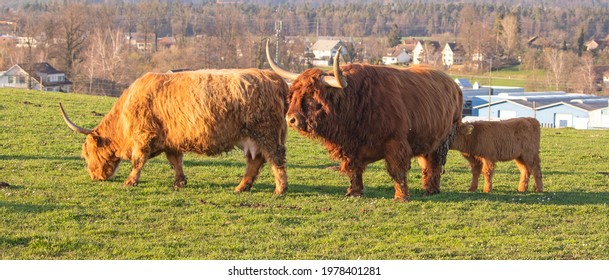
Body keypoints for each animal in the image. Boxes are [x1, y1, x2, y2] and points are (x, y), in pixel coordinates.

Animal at [60, 69, 290, 194]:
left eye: (86, 154)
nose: (94, 176)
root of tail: (274, 78)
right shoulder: (171, 140)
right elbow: (175, 161)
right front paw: (180, 182)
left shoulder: (144, 136)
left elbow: (138, 160)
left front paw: (130, 181)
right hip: (252, 138)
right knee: (256, 160)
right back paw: (241, 186)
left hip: (266, 132)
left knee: (275, 158)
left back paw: (280, 189)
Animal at [264, 42, 460, 201]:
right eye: (293, 94)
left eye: (312, 96)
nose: (291, 119)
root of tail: (453, 84)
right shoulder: (350, 146)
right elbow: (354, 169)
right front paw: (354, 192)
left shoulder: (396, 143)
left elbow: (397, 170)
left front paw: (401, 196)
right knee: (426, 163)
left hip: (443, 140)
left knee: (435, 163)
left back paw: (431, 190)